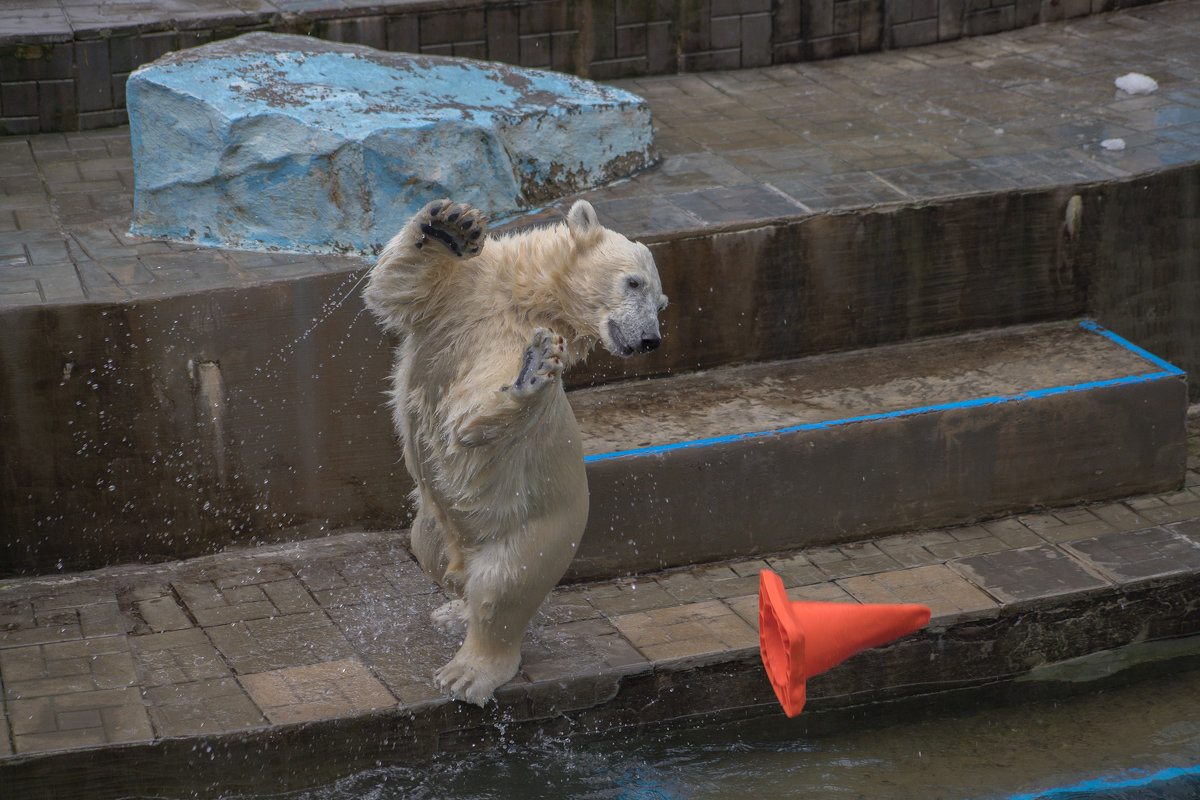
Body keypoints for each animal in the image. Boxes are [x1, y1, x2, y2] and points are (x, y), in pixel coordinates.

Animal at [364, 200, 667, 705]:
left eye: (661, 304)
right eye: (634, 282)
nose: (650, 339)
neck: (529, 298)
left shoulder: (508, 339)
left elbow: (477, 401)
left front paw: (531, 371)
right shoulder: (468, 294)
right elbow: (397, 287)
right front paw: (449, 226)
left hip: (537, 529)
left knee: (503, 589)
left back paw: (467, 671)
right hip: (434, 524)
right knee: (431, 553)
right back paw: (453, 610)